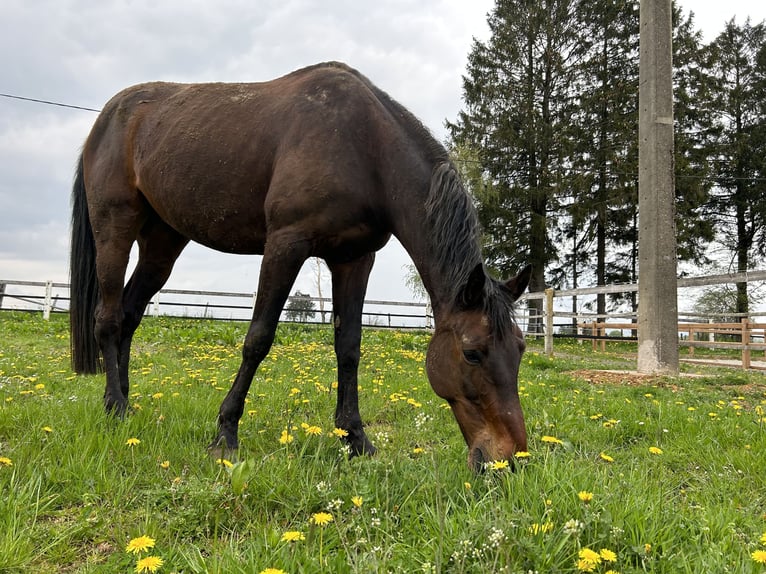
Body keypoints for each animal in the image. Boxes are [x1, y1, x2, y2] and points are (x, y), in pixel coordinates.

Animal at [69, 62, 532, 472]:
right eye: (472, 353)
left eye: (521, 349)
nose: (510, 460)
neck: (365, 148)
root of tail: (107, 117)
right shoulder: (285, 245)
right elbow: (258, 339)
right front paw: (225, 434)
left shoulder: (354, 259)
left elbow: (349, 348)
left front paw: (355, 439)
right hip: (115, 228)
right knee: (109, 318)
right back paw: (115, 408)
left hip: (162, 243)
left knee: (131, 314)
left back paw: (126, 401)